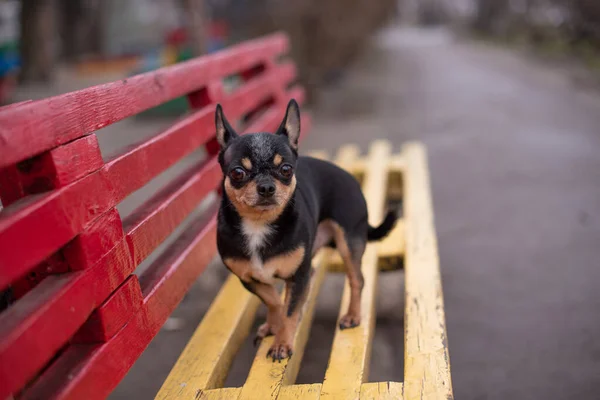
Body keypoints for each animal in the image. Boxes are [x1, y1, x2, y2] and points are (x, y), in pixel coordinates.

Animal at [213, 101, 396, 362]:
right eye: (238, 173)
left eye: (286, 169)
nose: (266, 187)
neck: (259, 225)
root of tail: (349, 175)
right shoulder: (250, 279)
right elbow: (274, 301)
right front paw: (274, 325)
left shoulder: (297, 276)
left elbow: (289, 310)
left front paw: (282, 343)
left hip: (348, 243)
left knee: (357, 279)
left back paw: (352, 315)